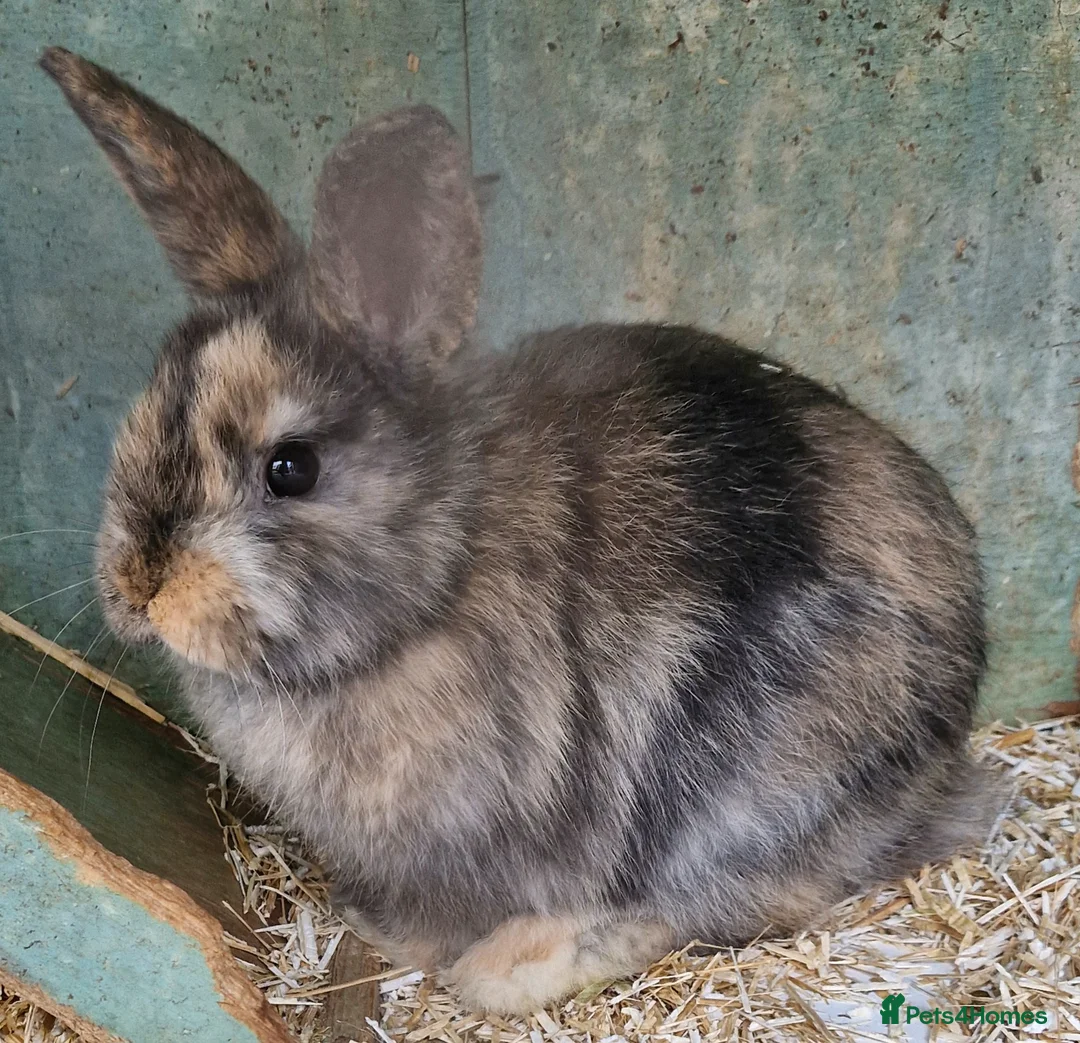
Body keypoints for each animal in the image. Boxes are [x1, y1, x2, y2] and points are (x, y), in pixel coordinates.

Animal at [42, 47, 1001, 1015]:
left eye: (290, 468)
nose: (138, 585)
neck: (434, 587)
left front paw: (404, 939)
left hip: (759, 790)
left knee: (735, 897)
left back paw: (515, 966)